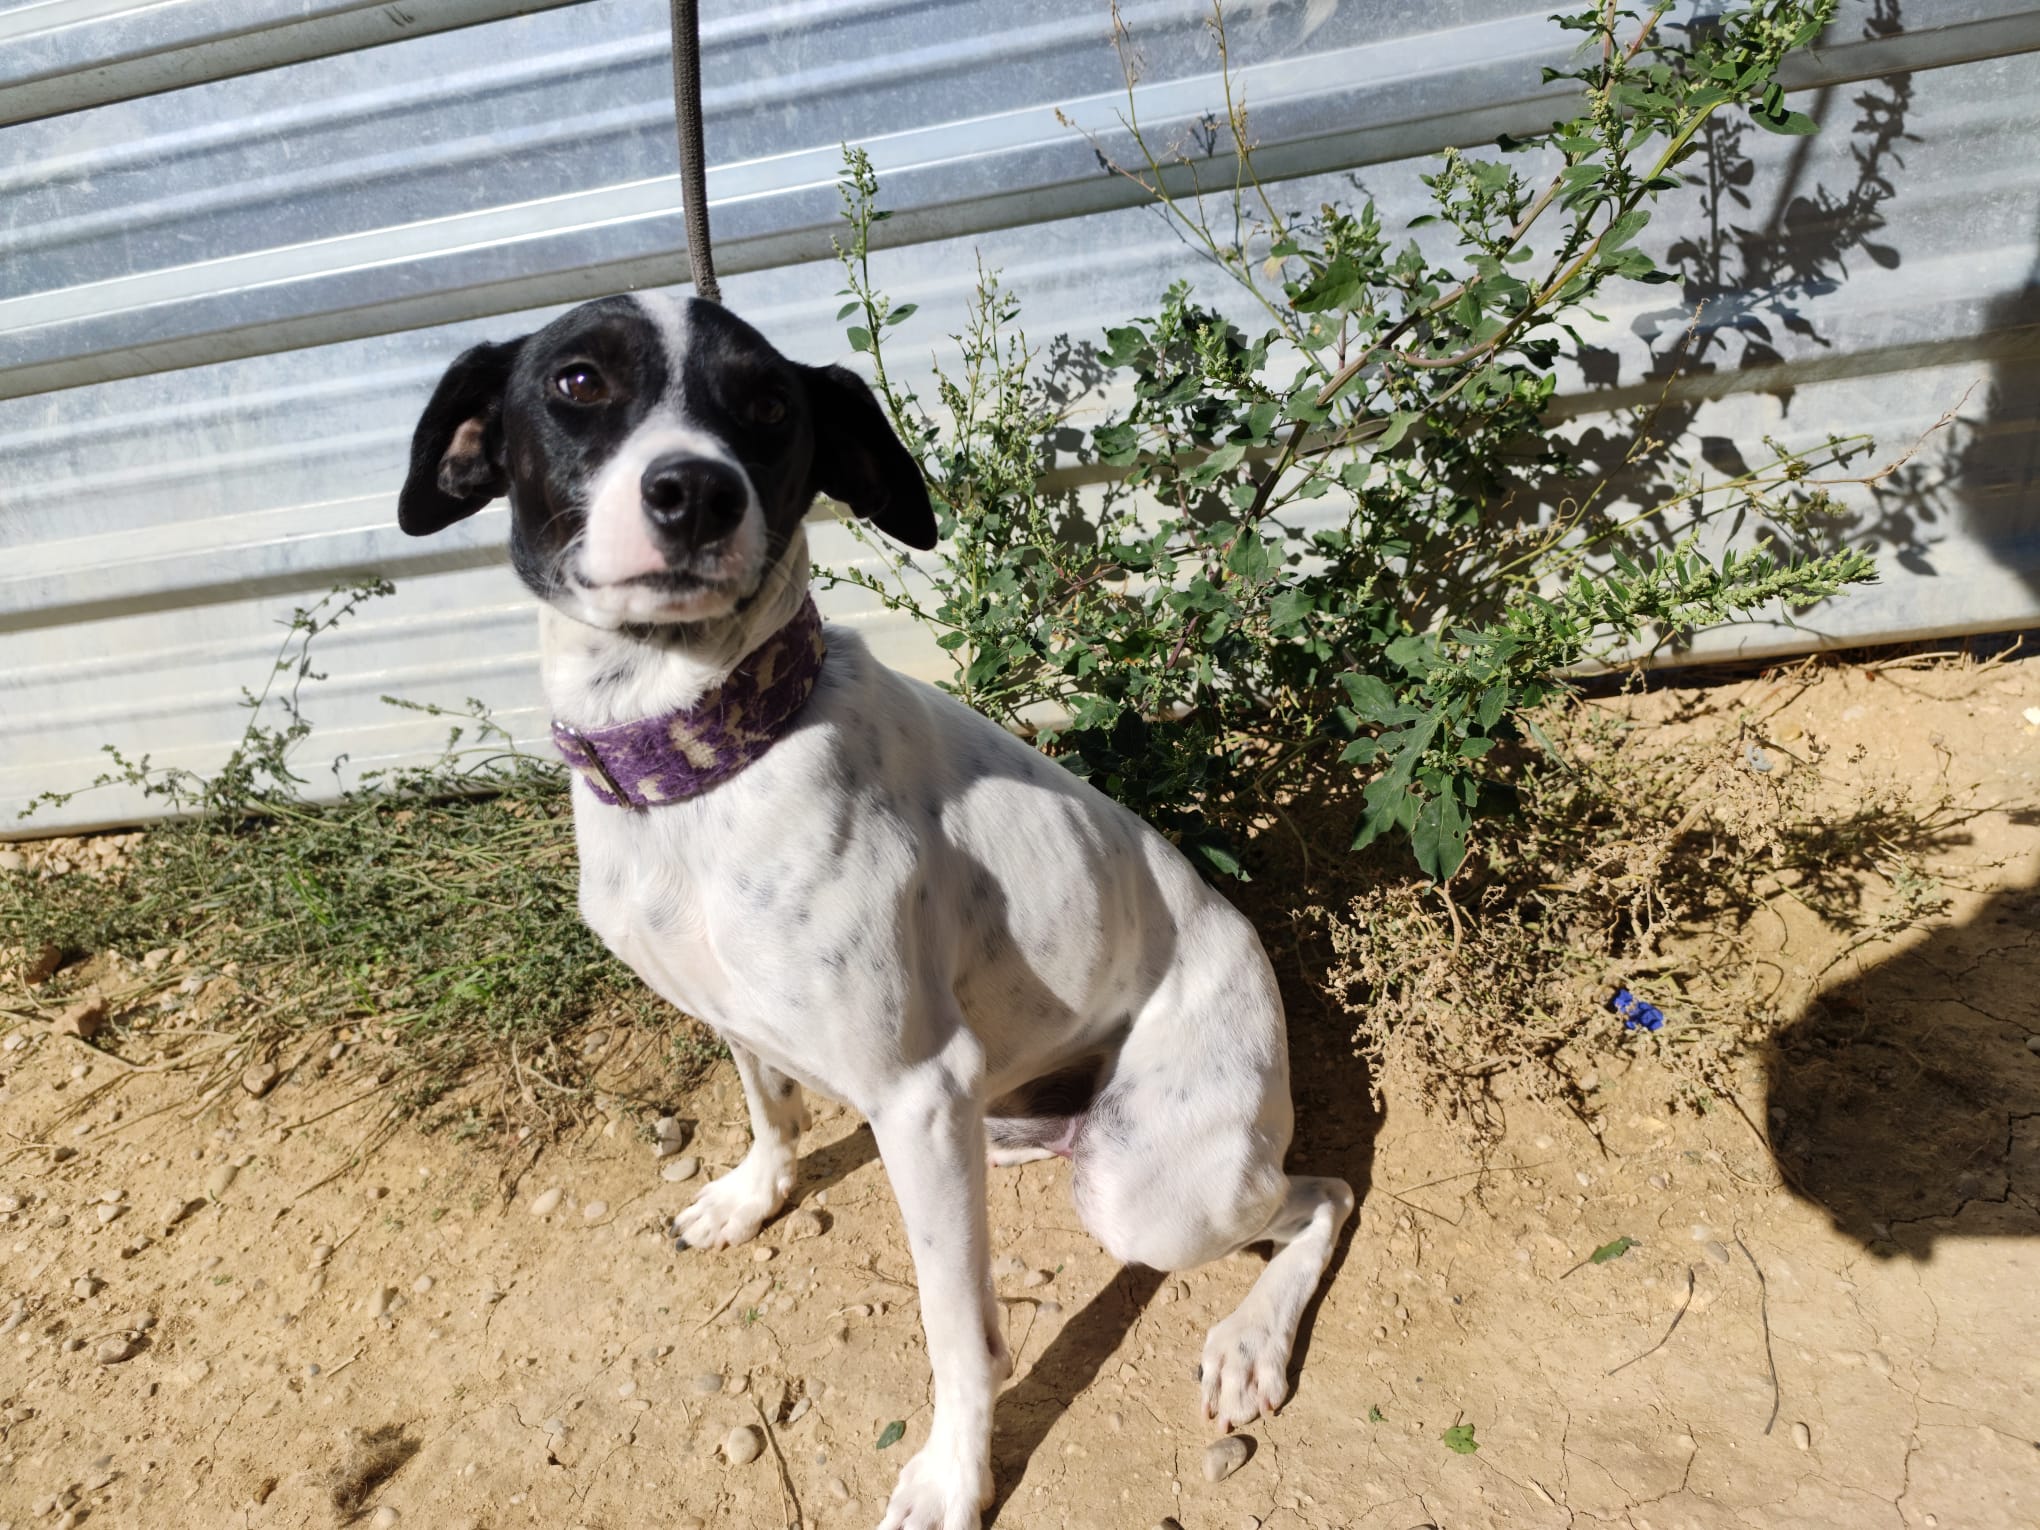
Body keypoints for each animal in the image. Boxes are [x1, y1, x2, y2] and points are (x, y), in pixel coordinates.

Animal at [397, 292, 1354, 1530]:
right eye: (576, 382)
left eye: (767, 404)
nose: (695, 491)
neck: (707, 760)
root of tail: (1253, 950)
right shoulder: (748, 1018)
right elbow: (770, 1108)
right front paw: (753, 1194)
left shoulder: (916, 1086)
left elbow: (957, 1336)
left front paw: (951, 1475)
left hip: (1149, 1190)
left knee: (1322, 1191)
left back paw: (1249, 1338)